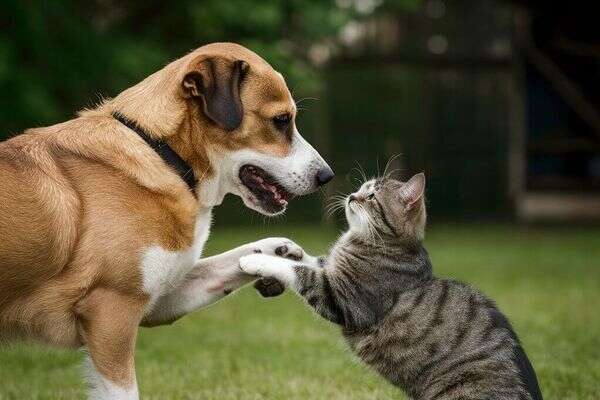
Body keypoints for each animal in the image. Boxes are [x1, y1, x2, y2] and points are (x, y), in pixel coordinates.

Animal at [0, 42, 333, 399]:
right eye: (281, 120)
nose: (327, 176)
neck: (162, 153)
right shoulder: (111, 314)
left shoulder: (159, 299)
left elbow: (228, 264)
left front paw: (279, 253)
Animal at [240, 173, 543, 400]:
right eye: (361, 188)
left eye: (372, 197)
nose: (352, 196)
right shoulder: (333, 271)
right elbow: (314, 260)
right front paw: (287, 249)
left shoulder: (343, 298)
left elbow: (301, 271)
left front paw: (254, 259)